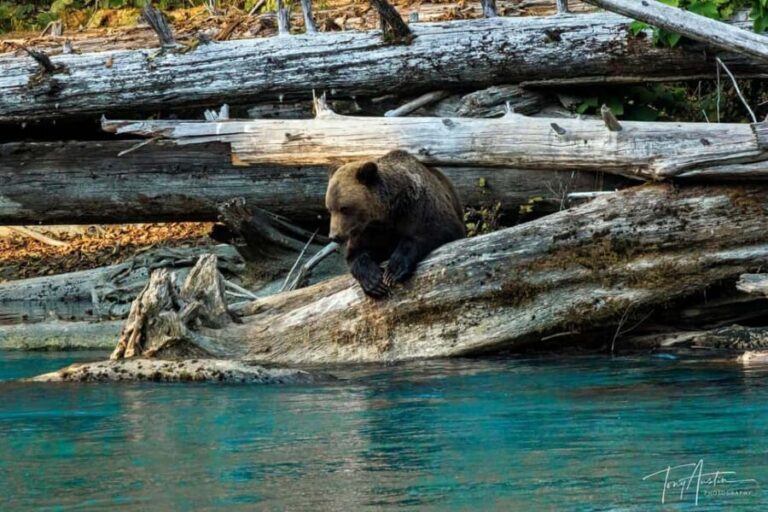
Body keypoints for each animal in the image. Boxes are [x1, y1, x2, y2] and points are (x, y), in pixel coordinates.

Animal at [325, 150, 466, 298]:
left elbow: (438, 230)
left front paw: (393, 272)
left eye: (344, 208)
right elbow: (356, 253)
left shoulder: (419, 207)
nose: (334, 236)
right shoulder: (367, 231)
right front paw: (374, 282)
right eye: (330, 208)